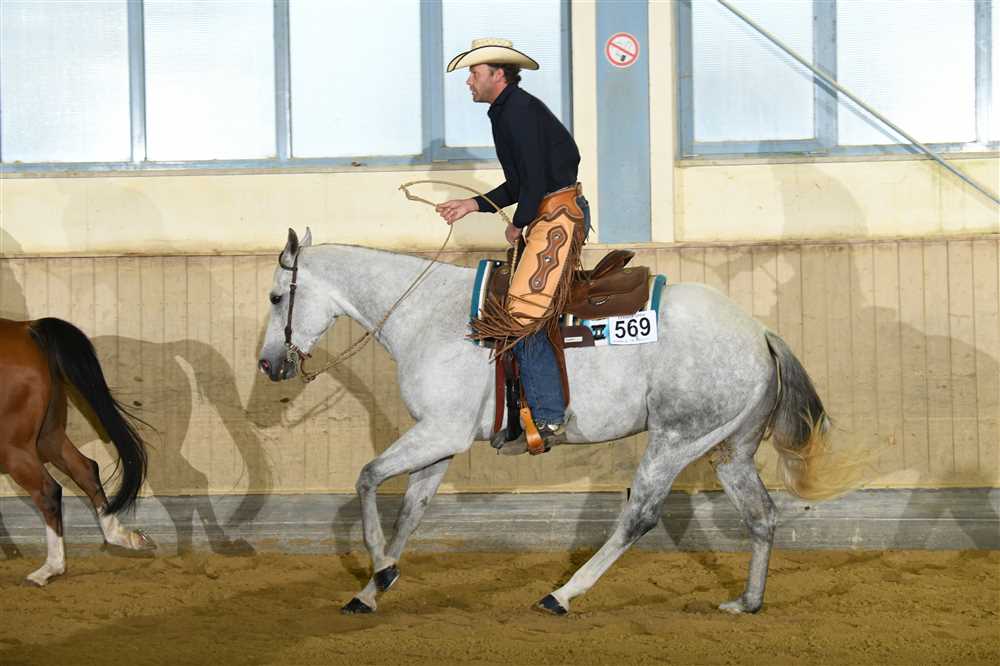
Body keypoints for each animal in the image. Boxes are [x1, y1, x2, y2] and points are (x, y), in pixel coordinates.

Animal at [0, 317, 154, 586]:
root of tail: (28, 328)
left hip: (15, 448)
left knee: (48, 491)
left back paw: (49, 569)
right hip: (49, 437)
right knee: (86, 469)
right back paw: (122, 536)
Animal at [257, 228, 854, 615]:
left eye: (275, 295)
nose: (268, 364)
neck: (427, 313)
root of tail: (760, 332)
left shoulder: (439, 432)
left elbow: (366, 478)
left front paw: (379, 571)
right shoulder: (440, 441)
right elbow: (410, 510)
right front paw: (372, 588)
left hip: (674, 440)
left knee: (640, 516)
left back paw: (562, 595)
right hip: (728, 449)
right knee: (762, 516)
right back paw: (748, 601)